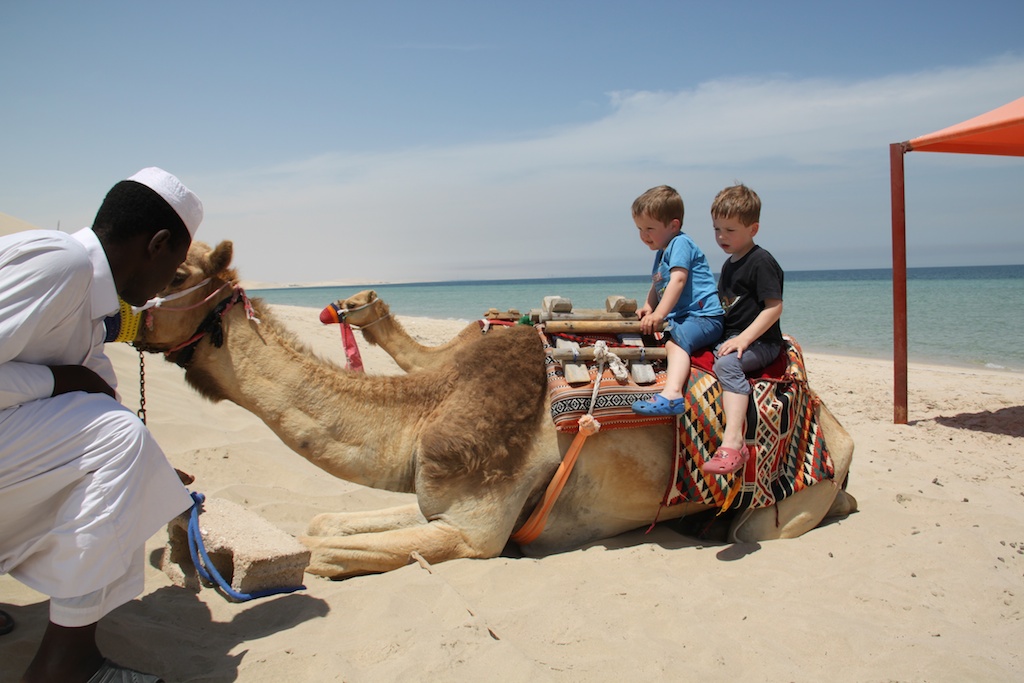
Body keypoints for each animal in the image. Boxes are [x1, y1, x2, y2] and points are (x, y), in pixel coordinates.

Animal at [136, 240, 856, 577]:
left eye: (180, 273)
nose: (121, 301)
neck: (426, 406)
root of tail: (840, 433)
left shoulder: (473, 531)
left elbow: (324, 551)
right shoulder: (434, 499)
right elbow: (323, 524)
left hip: (782, 508)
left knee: (757, 529)